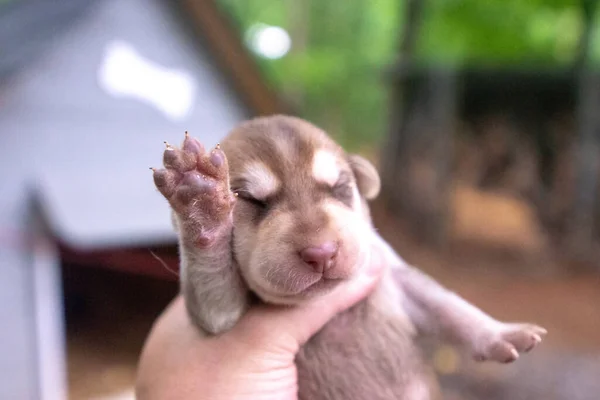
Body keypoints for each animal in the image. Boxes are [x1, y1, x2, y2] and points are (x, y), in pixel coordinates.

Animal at [152, 115, 548, 400]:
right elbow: (215, 294)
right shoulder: (220, 319)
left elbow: (449, 305)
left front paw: (504, 333)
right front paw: (202, 199)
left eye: (340, 188)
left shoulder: (394, 276)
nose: (321, 253)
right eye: (251, 201)